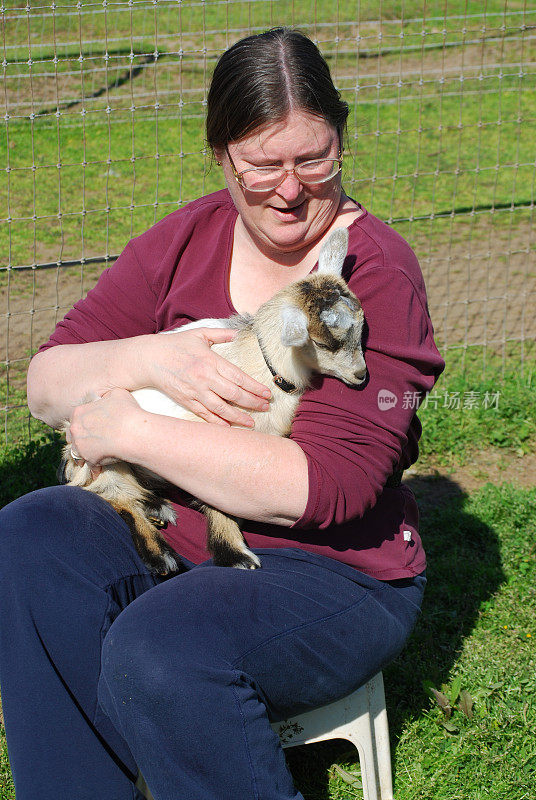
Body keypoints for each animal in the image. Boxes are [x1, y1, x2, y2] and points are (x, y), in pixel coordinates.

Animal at [59, 228, 368, 572]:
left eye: (361, 328)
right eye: (324, 343)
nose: (361, 375)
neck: (264, 363)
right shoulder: (215, 440)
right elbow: (219, 502)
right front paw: (236, 555)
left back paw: (157, 507)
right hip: (101, 455)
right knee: (115, 496)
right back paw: (161, 553)